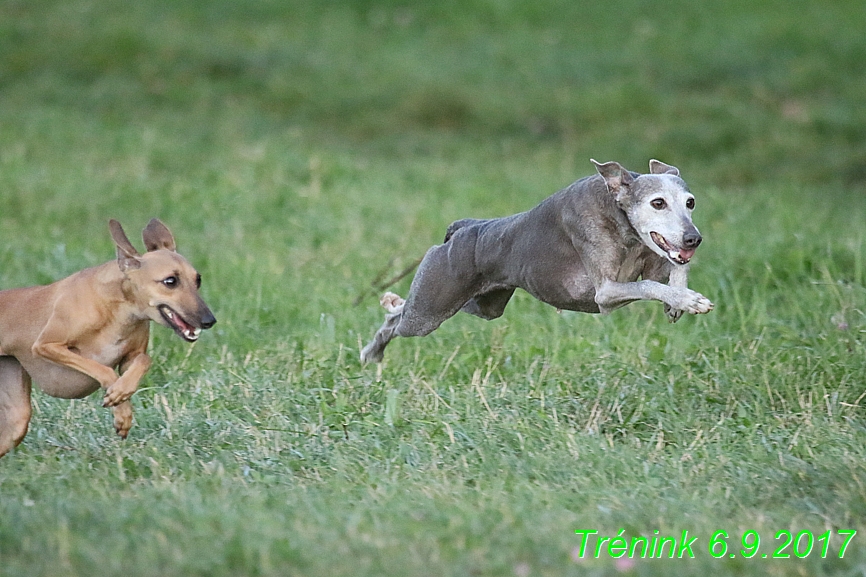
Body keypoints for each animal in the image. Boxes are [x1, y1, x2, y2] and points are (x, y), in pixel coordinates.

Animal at [0, 218, 215, 456]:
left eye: (198, 280)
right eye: (170, 281)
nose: (209, 320)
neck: (118, 309)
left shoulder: (131, 357)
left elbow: (143, 360)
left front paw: (123, 400)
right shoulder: (46, 346)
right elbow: (103, 369)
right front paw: (120, 405)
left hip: (16, 417)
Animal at [362, 158, 712, 362]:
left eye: (691, 202)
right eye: (658, 203)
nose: (693, 238)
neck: (618, 213)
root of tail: (462, 228)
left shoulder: (659, 258)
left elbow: (672, 271)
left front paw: (679, 302)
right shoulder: (606, 292)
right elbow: (648, 285)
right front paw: (687, 300)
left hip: (484, 304)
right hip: (430, 308)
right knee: (397, 322)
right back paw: (373, 350)